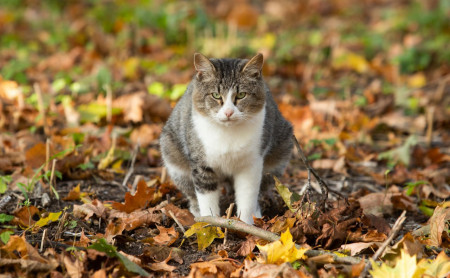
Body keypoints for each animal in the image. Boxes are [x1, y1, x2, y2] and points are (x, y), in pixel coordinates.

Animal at [160, 53, 294, 225]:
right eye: (216, 95)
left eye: (241, 95)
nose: (228, 112)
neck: (227, 132)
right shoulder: (201, 163)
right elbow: (206, 198)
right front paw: (209, 223)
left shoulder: (251, 163)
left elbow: (247, 196)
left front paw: (246, 224)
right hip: (174, 159)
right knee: (190, 191)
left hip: (279, 154)